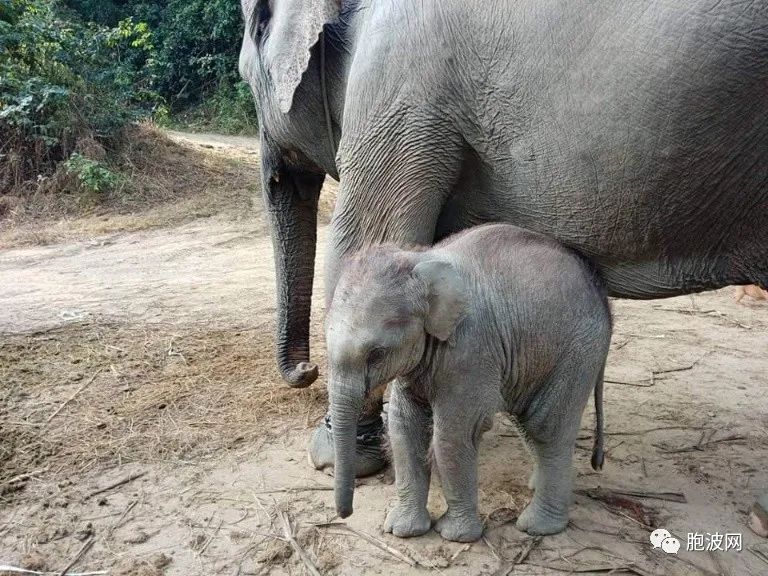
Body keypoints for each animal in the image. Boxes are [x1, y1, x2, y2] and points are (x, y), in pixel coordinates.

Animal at [326, 224, 612, 540]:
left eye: (377, 353)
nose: (345, 514)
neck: (419, 260)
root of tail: (603, 298)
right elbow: (404, 426)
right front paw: (403, 530)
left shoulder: (470, 349)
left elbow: (454, 433)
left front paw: (455, 535)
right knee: (528, 424)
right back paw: (534, 486)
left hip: (577, 351)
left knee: (547, 427)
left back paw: (537, 527)